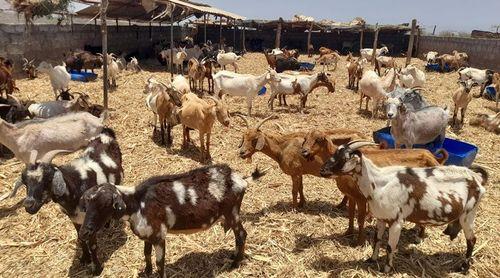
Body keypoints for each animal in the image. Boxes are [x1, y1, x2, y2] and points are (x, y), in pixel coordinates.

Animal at [19, 128, 123, 276]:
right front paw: (84, 258)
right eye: (25, 182)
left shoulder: (88, 219)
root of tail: (105, 133)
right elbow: (80, 238)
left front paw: (96, 268)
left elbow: (92, 244)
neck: (76, 185)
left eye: (48, 179)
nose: (29, 205)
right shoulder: (75, 219)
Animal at [77, 164, 264, 276]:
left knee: (242, 234)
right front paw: (147, 272)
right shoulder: (148, 235)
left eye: (105, 205)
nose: (84, 232)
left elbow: (160, 263)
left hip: (232, 213)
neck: (137, 202)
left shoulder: (160, 236)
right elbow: (146, 253)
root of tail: (241, 180)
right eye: (86, 205)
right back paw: (234, 256)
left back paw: (235, 263)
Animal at [236, 114, 366, 207]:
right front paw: (302, 203)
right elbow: (300, 188)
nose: (242, 153)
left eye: (255, 139)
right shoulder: (299, 172)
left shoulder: (294, 173)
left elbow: (294, 190)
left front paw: (294, 208)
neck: (283, 147)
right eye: (244, 137)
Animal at [300, 131, 450, 244]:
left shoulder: (361, 198)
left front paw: (359, 242)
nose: (304, 152)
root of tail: (433, 158)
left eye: (318, 139)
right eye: (306, 138)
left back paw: (419, 237)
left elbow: (360, 218)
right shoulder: (351, 196)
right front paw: (348, 233)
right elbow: (350, 215)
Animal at [320, 142, 488, 274]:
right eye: (334, 153)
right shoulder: (381, 218)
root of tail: (477, 179)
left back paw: (463, 268)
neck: (379, 183)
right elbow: (377, 240)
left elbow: (390, 246)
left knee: (472, 240)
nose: (323, 170)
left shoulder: (396, 221)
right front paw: (371, 260)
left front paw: (386, 269)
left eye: (344, 158)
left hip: (468, 215)